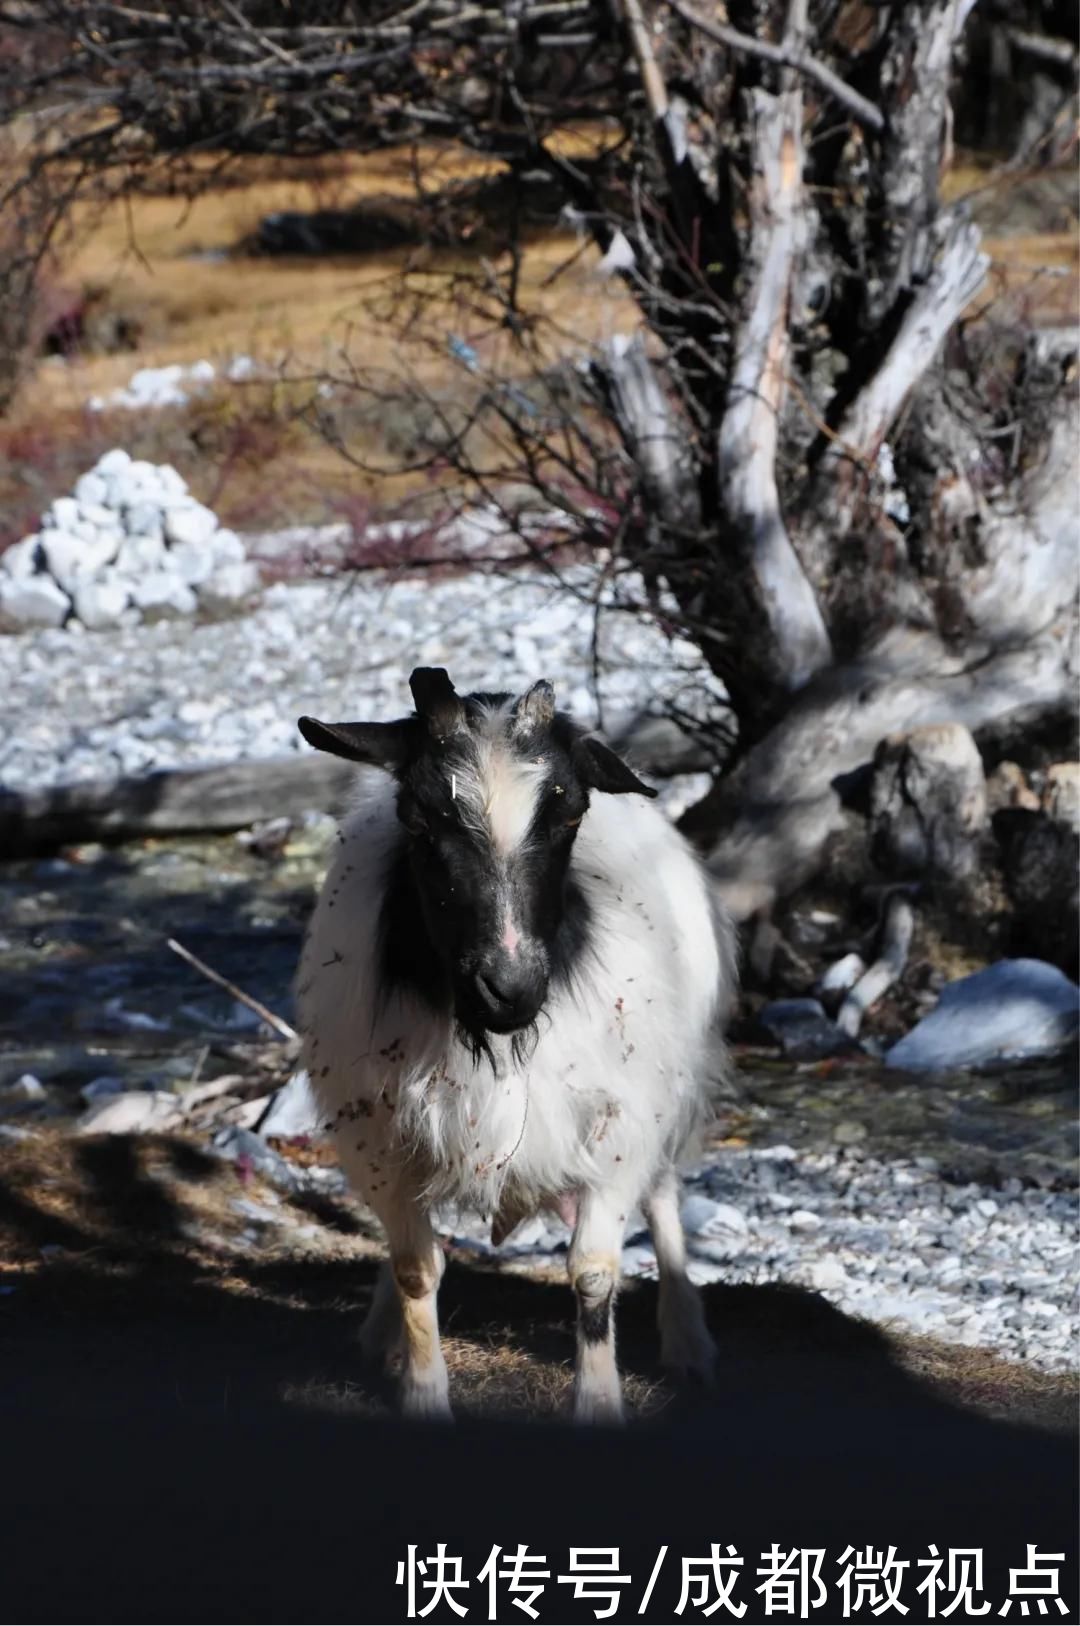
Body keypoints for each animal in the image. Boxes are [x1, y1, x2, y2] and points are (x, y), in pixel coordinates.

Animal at [292, 666, 735, 1417]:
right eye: (418, 817)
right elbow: (416, 1269)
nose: (510, 986)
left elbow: (593, 1273)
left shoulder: (616, 1126)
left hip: (668, 1089)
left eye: (571, 815)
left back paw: (691, 1344)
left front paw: (598, 1404)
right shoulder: (382, 1137)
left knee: (665, 1196)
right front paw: (422, 1393)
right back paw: (378, 1333)